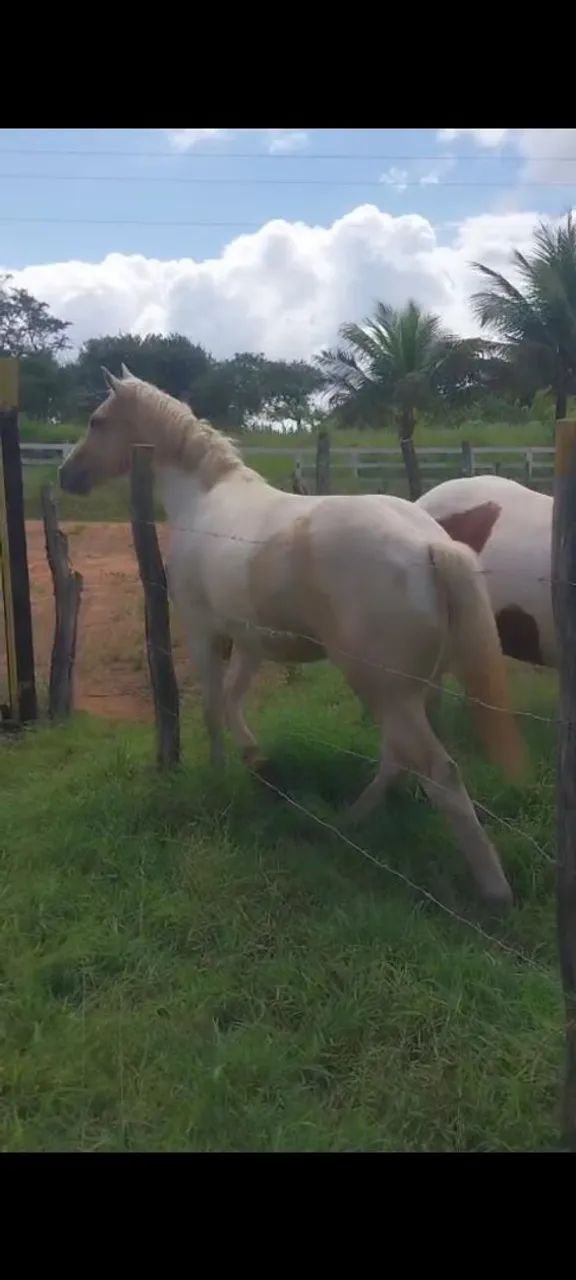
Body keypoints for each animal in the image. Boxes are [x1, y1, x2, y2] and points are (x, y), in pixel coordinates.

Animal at [59, 367, 524, 908]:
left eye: (97, 420)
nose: (66, 475)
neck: (205, 497)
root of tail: (431, 544)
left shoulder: (203, 631)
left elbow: (212, 708)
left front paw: (219, 774)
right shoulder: (250, 640)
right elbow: (234, 699)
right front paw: (256, 761)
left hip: (382, 688)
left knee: (437, 770)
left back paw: (492, 889)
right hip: (410, 690)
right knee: (399, 760)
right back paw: (349, 821)